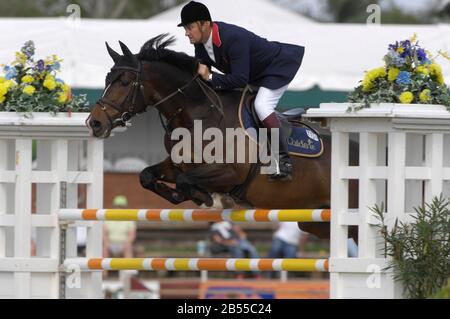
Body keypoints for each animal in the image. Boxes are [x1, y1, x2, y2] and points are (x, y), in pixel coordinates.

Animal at [86, 34, 356, 240]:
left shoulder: (229, 173)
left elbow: (185, 181)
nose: (95, 123)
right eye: (107, 79)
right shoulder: (178, 164)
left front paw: (202, 196)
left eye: (124, 81)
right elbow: (147, 176)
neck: (197, 115)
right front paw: (185, 196)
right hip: (315, 221)